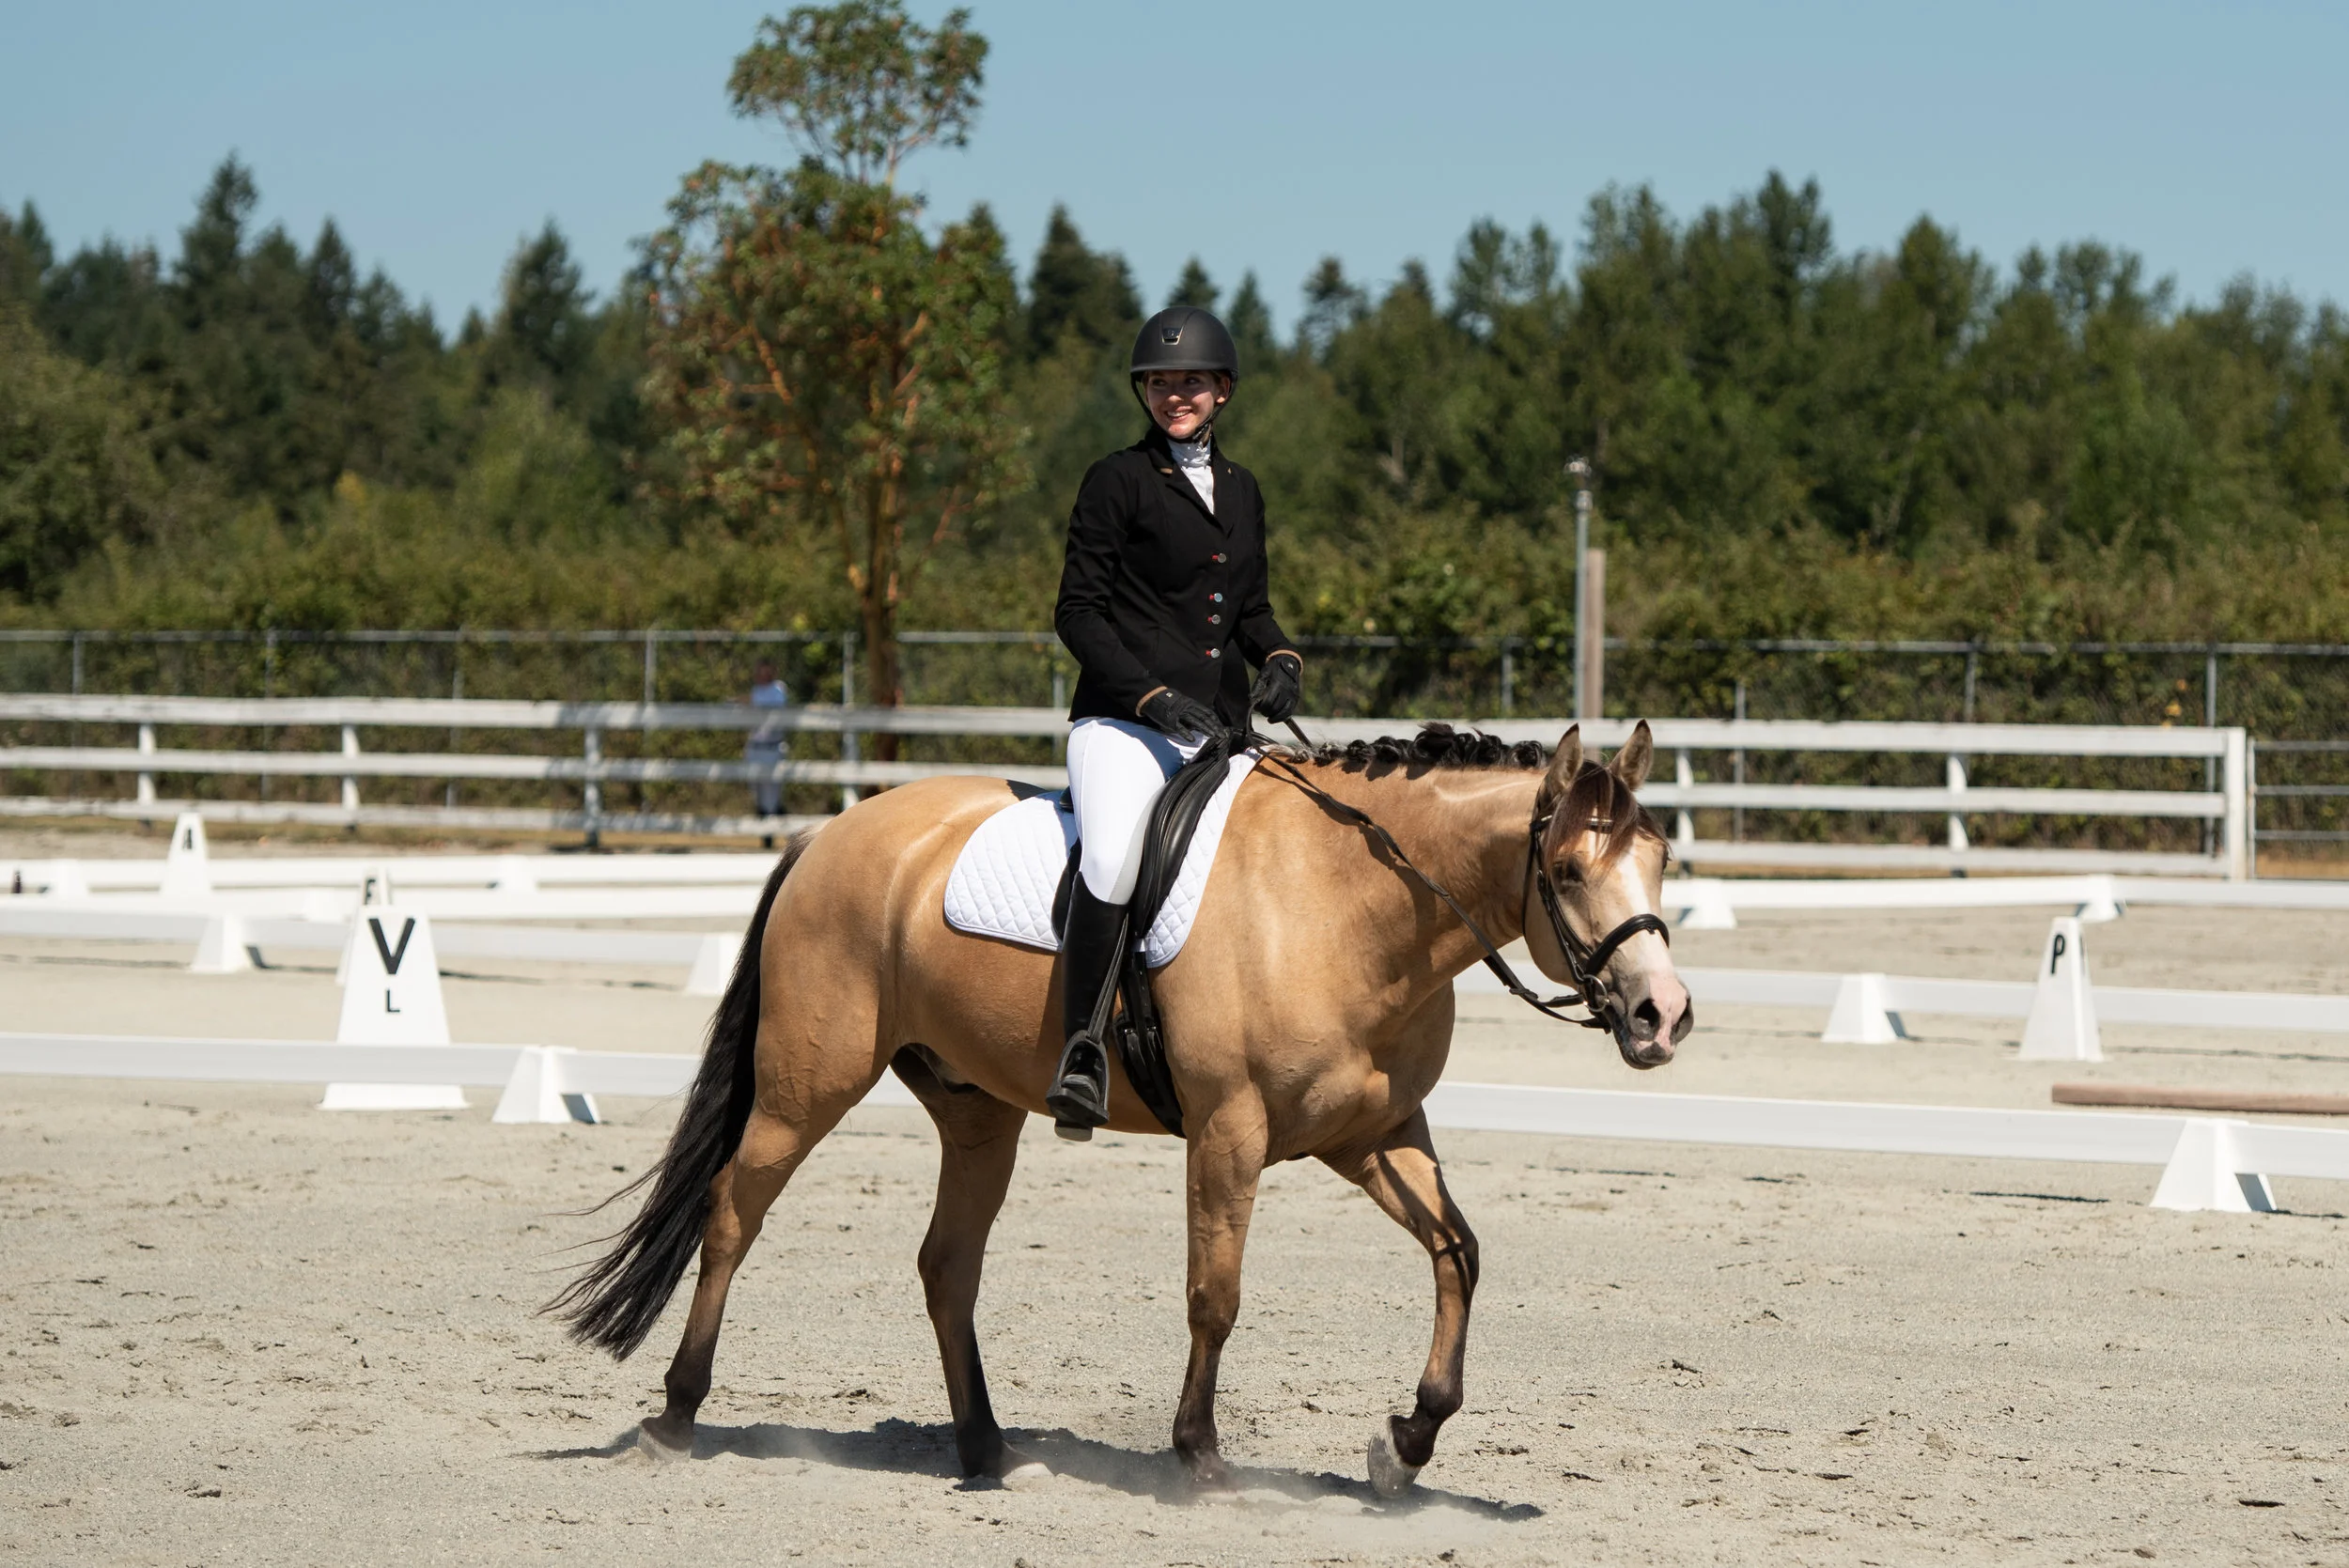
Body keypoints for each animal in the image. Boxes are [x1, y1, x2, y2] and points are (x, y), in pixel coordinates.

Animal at [549, 720, 1692, 1496]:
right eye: (1567, 868)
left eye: (1661, 859)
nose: (1661, 1014)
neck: (1348, 907)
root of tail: (829, 833)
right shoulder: (1231, 1131)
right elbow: (1214, 1294)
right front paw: (1201, 1456)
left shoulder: (1374, 1135)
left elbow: (1459, 1253)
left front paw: (1405, 1442)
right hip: (807, 1083)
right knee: (734, 1213)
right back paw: (677, 1414)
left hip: (976, 1112)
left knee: (946, 1264)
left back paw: (988, 1450)